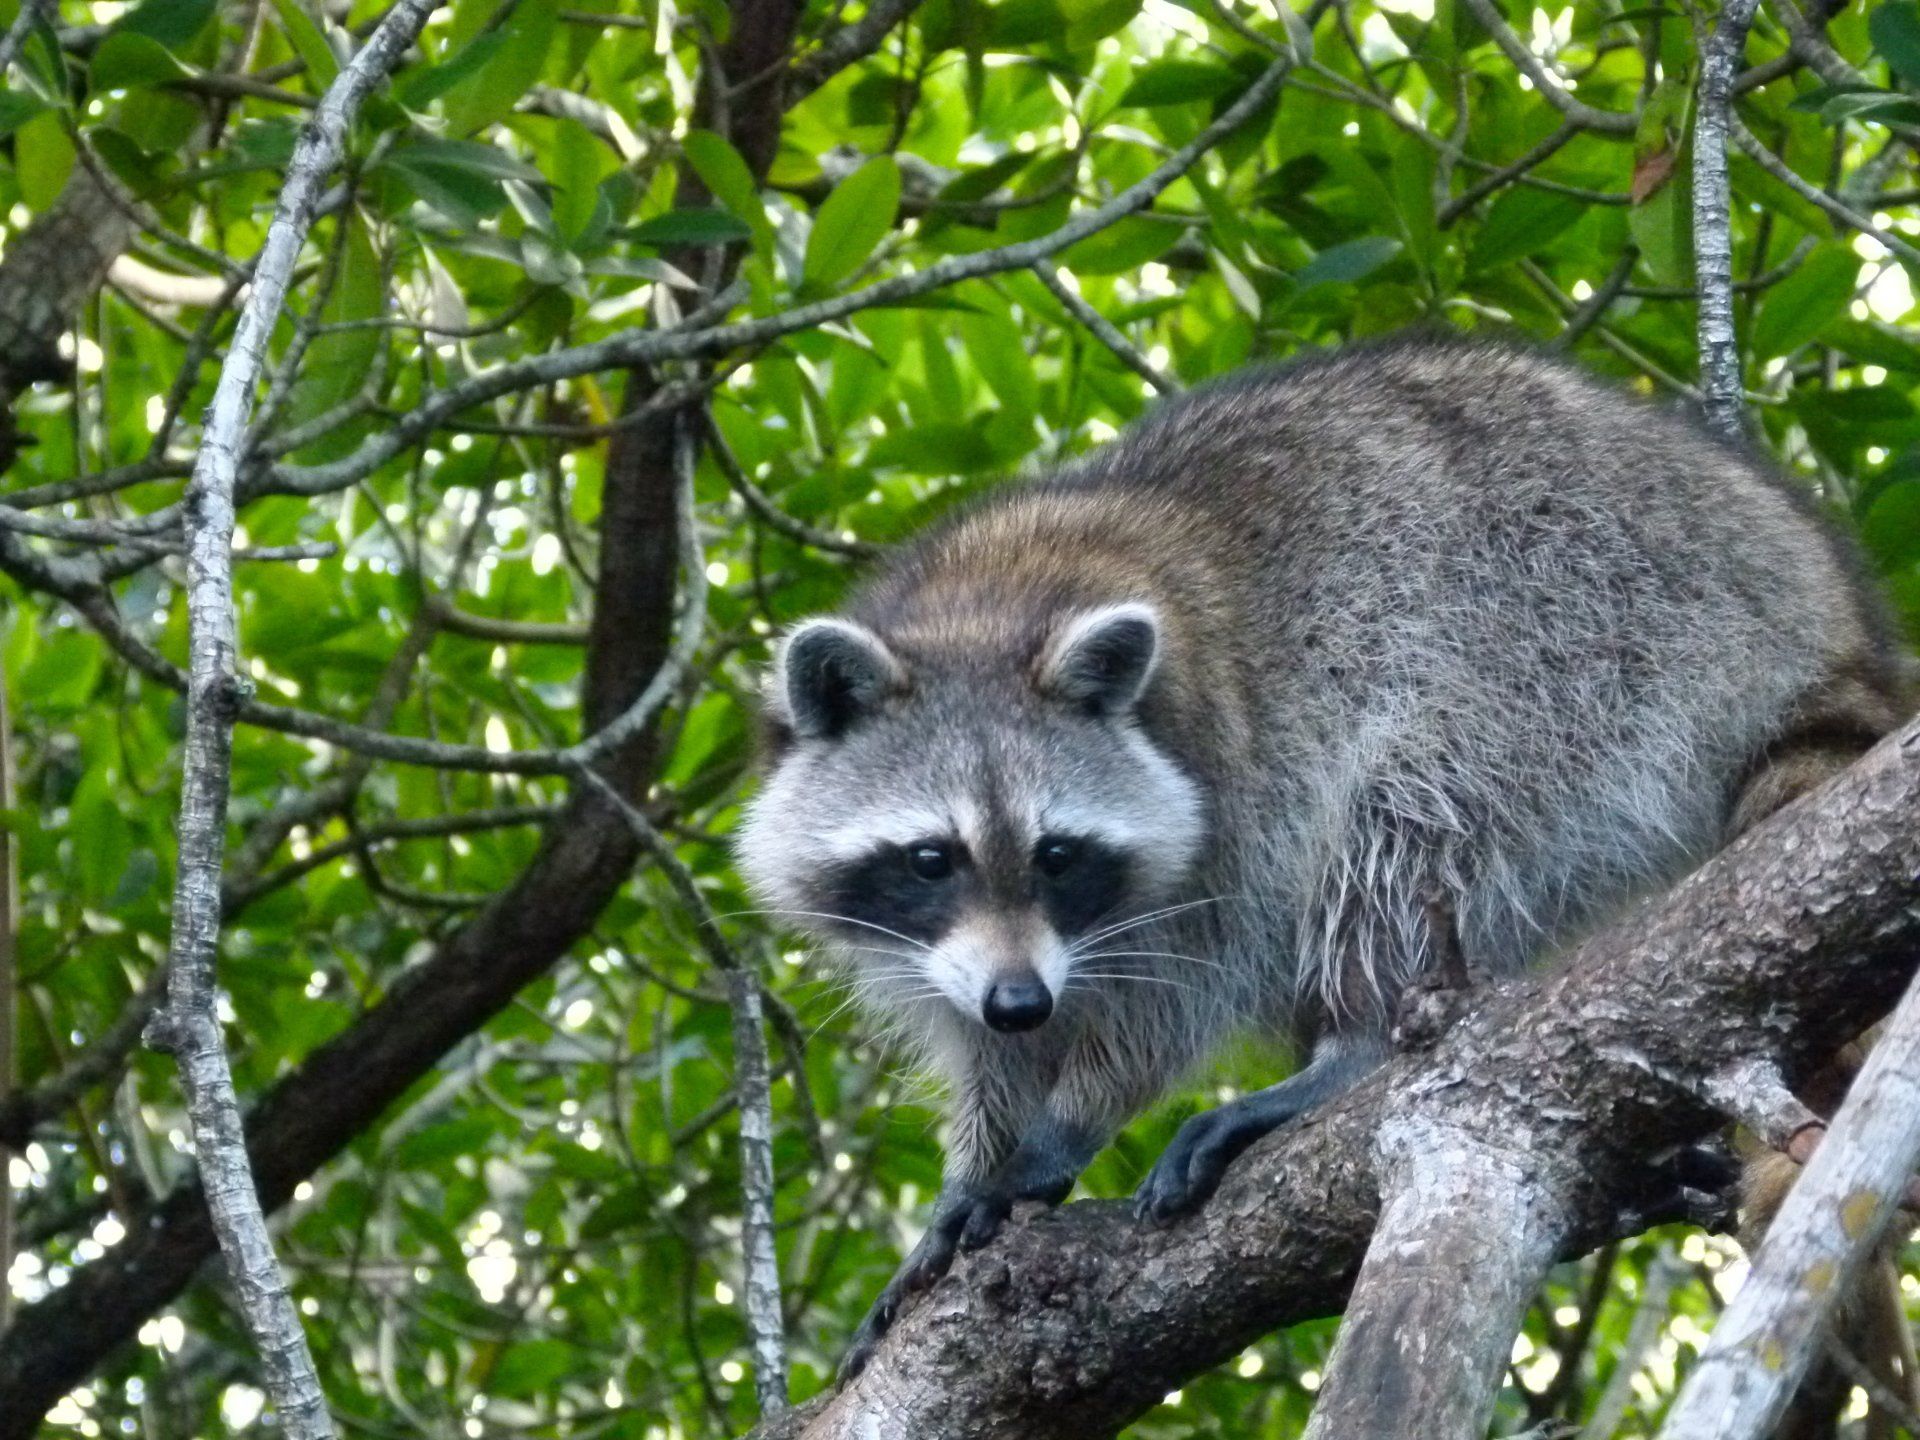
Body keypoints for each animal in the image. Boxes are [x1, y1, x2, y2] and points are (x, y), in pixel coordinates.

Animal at [733, 334, 1909, 1376]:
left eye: (1059, 854)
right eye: (931, 860)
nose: (1021, 1002)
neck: (983, 613)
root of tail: (1828, 616)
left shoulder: (1232, 783)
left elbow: (1191, 979)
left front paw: (1064, 1124)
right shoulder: (950, 946)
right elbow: (978, 1038)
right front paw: (982, 1150)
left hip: (1586, 639)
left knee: (1412, 799)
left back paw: (1355, 1040)